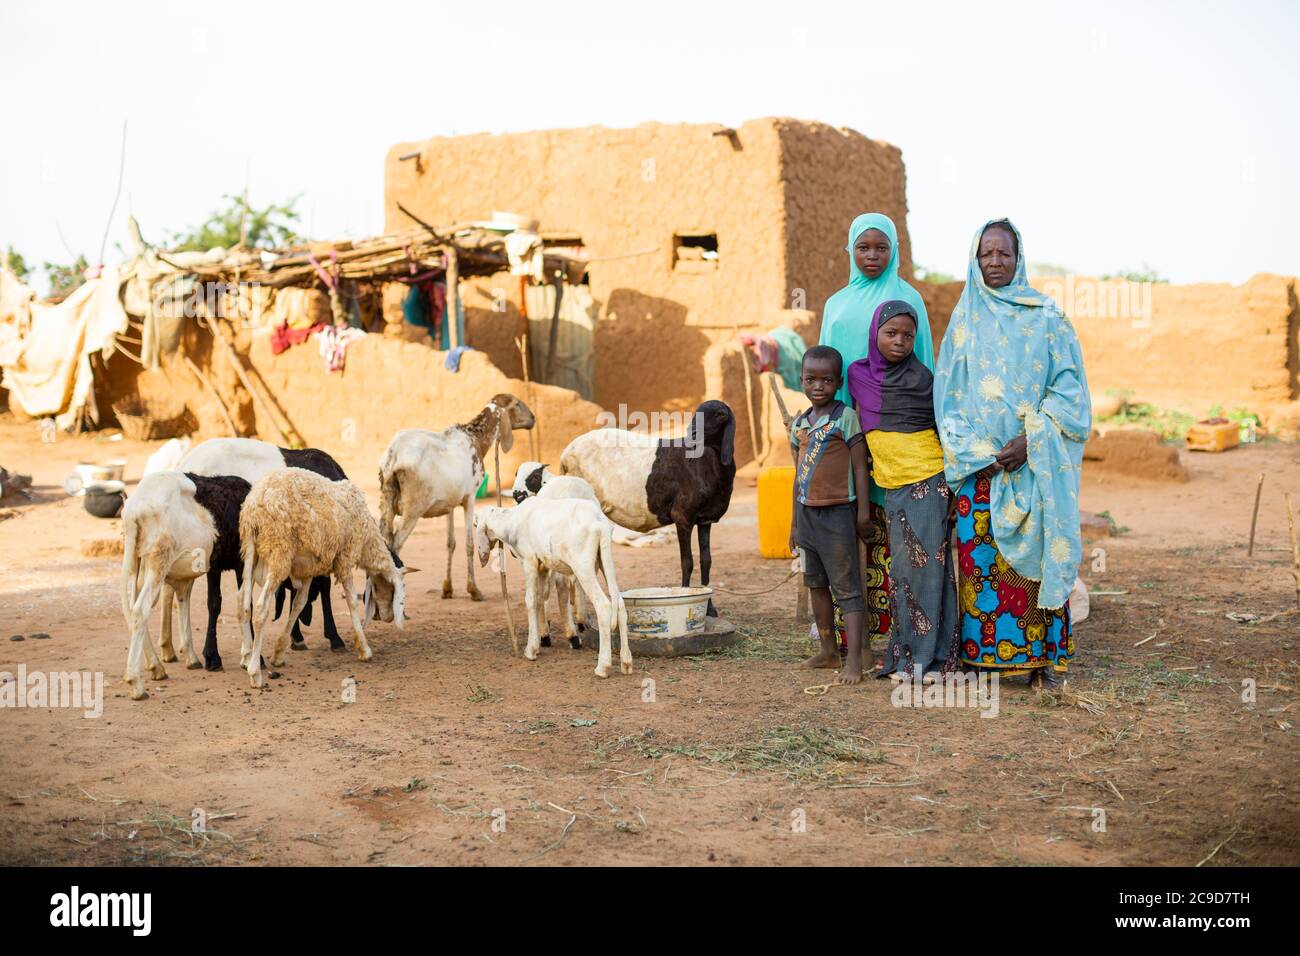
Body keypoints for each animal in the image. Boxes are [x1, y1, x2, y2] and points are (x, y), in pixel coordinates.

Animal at [121, 473, 253, 702]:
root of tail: (133, 509)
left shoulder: (205, 567)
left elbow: (186, 600)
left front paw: (194, 657)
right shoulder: (240, 560)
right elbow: (238, 604)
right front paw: (246, 657)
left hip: (137, 559)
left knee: (131, 608)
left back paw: (156, 668)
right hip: (159, 558)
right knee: (140, 609)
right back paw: (136, 685)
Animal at [239, 468, 405, 686]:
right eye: (395, 593)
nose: (389, 618)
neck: (369, 542)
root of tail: (253, 506)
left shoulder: (308, 568)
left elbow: (298, 605)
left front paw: (279, 653)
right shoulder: (345, 557)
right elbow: (352, 601)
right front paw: (364, 649)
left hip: (250, 551)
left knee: (243, 604)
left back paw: (247, 658)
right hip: (279, 552)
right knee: (260, 609)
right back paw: (255, 673)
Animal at [379, 392, 533, 600]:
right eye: (516, 404)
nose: (533, 418)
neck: (477, 440)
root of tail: (393, 456)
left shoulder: (449, 504)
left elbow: (450, 543)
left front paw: (447, 588)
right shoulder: (470, 497)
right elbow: (469, 544)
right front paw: (474, 590)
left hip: (386, 503)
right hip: (413, 508)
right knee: (395, 545)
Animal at [473, 496, 629, 676]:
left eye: (475, 525)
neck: (512, 521)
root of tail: (600, 523)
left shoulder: (529, 562)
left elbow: (531, 600)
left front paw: (531, 650)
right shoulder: (543, 566)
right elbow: (541, 599)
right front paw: (541, 639)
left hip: (583, 567)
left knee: (603, 605)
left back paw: (603, 667)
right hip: (605, 559)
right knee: (620, 604)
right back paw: (626, 663)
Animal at [559, 400, 738, 616]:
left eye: (720, 414)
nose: (692, 434)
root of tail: (565, 455)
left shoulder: (705, 520)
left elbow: (706, 561)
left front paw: (709, 609)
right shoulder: (683, 517)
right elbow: (687, 562)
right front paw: (686, 597)